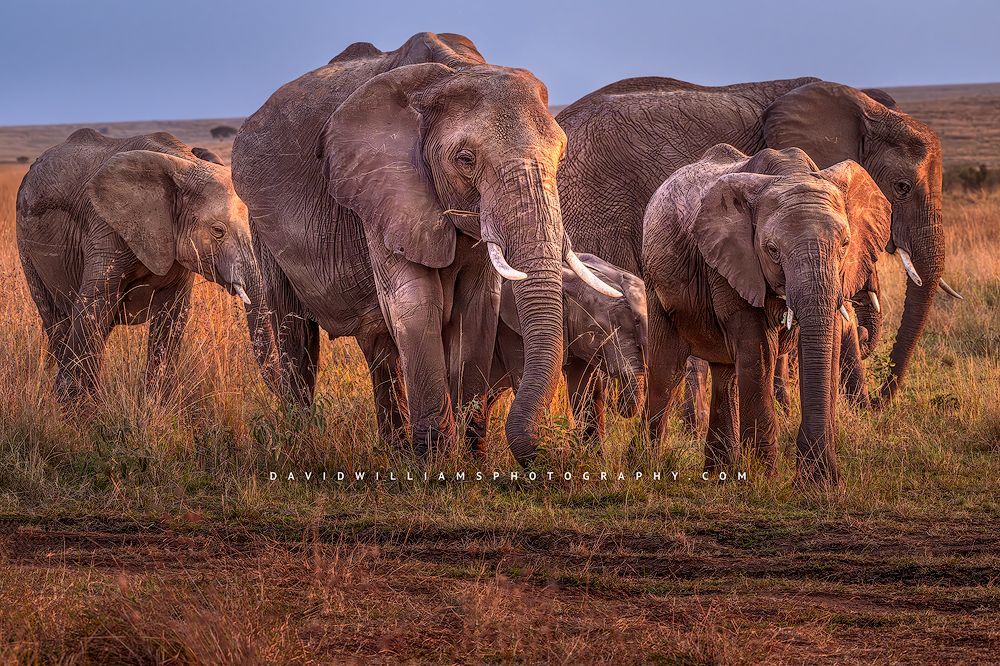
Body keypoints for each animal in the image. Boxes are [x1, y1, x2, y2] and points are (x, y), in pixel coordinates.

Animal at [16, 129, 260, 399]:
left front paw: (154, 402)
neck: (183, 162)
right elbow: (94, 305)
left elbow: (173, 313)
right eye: (218, 231)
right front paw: (75, 405)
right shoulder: (105, 226)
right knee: (55, 318)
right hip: (25, 242)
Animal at [231, 32, 620, 463]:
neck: (454, 71)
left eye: (562, 156)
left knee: (377, 344)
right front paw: (438, 462)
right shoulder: (384, 188)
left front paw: (471, 458)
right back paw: (301, 441)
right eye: (465, 159)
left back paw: (394, 451)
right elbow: (415, 303)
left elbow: (477, 307)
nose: (556, 452)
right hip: (261, 223)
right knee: (294, 332)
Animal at [641, 145, 891, 488]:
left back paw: (718, 475)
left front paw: (820, 483)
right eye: (772, 250)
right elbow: (758, 350)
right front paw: (765, 478)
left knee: (726, 376)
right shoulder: (730, 260)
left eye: (845, 244)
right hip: (655, 282)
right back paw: (644, 465)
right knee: (668, 369)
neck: (791, 173)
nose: (808, 477)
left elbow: (826, 347)